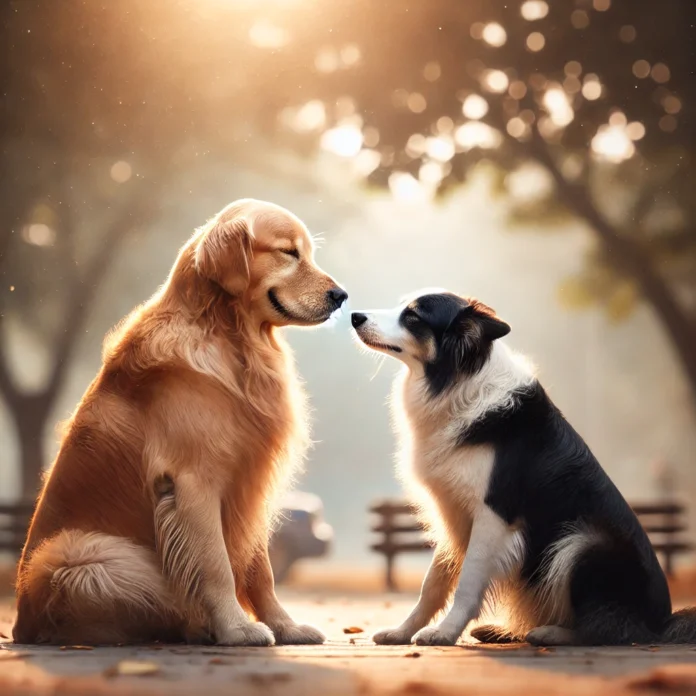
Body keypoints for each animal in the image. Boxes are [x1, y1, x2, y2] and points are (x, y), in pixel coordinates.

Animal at [354, 290, 696, 644]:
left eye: (413, 317)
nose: (354, 316)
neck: (460, 382)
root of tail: (662, 621)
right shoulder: (455, 513)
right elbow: (432, 584)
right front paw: (403, 631)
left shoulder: (493, 514)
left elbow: (468, 581)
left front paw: (445, 632)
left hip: (583, 541)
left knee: (608, 629)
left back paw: (551, 634)